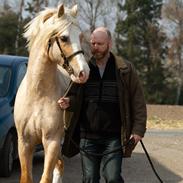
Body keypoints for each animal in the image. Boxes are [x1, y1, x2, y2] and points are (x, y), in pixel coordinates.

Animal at [13, 4, 89, 183]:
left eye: (80, 36)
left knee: (59, 166)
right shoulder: (24, 142)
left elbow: (45, 178)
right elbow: (26, 177)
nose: (84, 72)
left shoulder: (52, 141)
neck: (37, 94)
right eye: (64, 38)